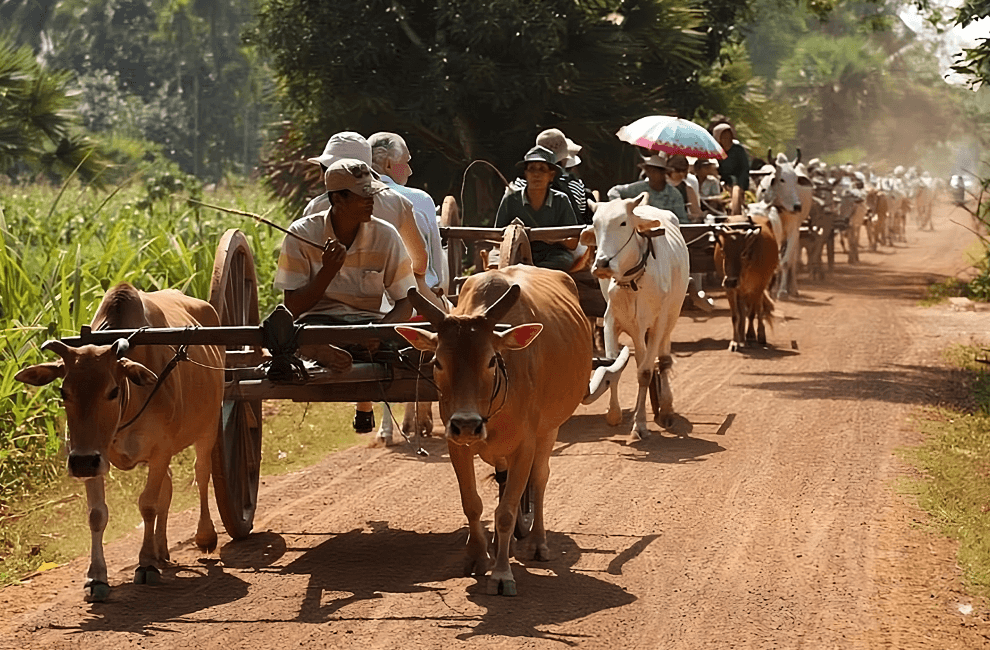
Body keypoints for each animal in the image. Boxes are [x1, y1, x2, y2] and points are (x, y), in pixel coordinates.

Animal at [580, 194, 688, 440]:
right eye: (595, 224)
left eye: (622, 223)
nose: (601, 264)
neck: (632, 282)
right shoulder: (610, 322)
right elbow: (613, 368)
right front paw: (614, 414)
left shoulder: (657, 325)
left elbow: (646, 372)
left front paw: (639, 424)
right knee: (641, 358)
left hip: (670, 318)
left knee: (662, 361)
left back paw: (666, 409)